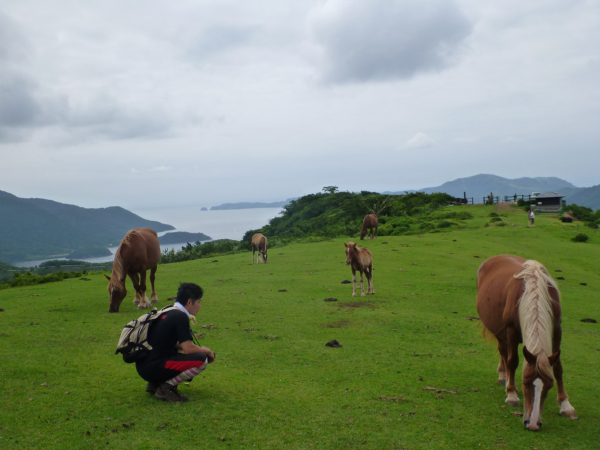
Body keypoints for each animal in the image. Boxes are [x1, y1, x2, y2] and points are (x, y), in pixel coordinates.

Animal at [476, 255, 580, 430]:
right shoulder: (511, 330)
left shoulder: (557, 329)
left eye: (549, 385)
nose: (532, 424)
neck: (535, 293)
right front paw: (511, 394)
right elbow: (512, 362)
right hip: (499, 330)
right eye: (525, 382)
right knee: (503, 351)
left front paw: (566, 405)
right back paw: (504, 377)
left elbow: (558, 367)